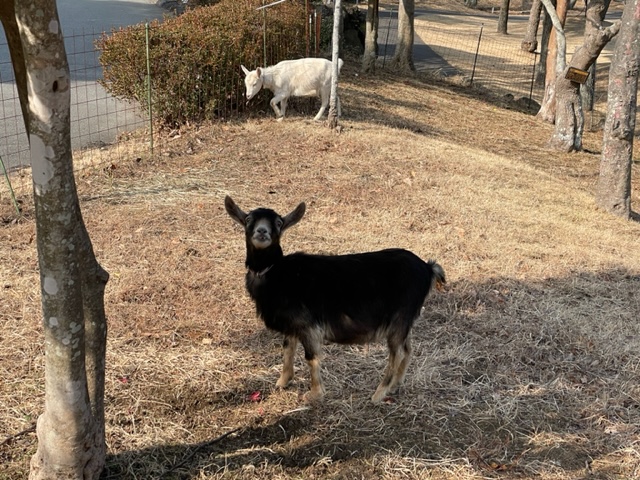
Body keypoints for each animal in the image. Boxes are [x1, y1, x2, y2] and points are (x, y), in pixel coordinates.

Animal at [225, 196, 446, 403]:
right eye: (248, 219)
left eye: (278, 223)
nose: (262, 232)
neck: (276, 272)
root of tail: (428, 268)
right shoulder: (292, 325)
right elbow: (288, 349)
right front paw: (282, 382)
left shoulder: (307, 325)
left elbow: (311, 357)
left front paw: (314, 394)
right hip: (405, 321)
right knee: (407, 350)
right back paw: (395, 385)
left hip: (400, 317)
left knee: (397, 352)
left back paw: (379, 394)